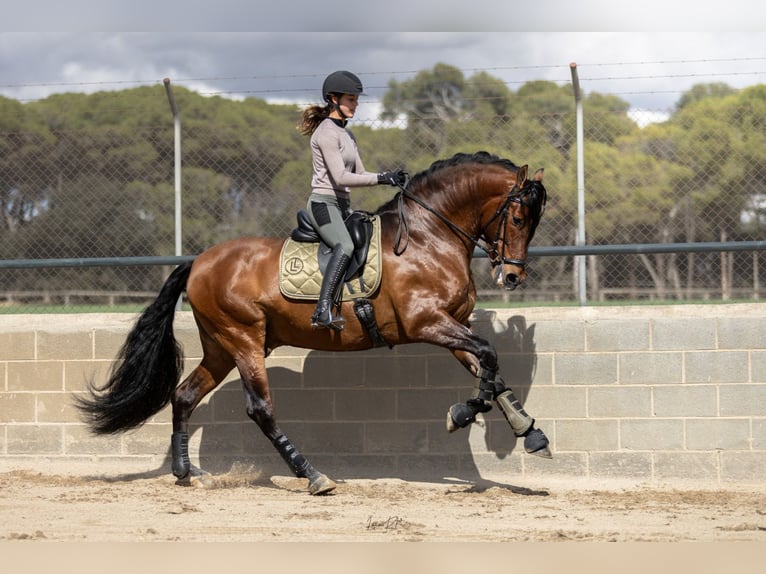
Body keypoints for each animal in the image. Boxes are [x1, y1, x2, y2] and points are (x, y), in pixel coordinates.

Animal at [75, 152, 548, 496]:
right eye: (518, 218)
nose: (512, 277)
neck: (429, 237)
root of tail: (199, 261)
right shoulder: (427, 322)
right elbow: (488, 355)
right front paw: (462, 414)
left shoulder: (453, 326)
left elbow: (490, 369)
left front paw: (530, 431)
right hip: (244, 339)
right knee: (260, 409)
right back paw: (313, 475)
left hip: (221, 347)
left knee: (184, 396)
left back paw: (186, 472)